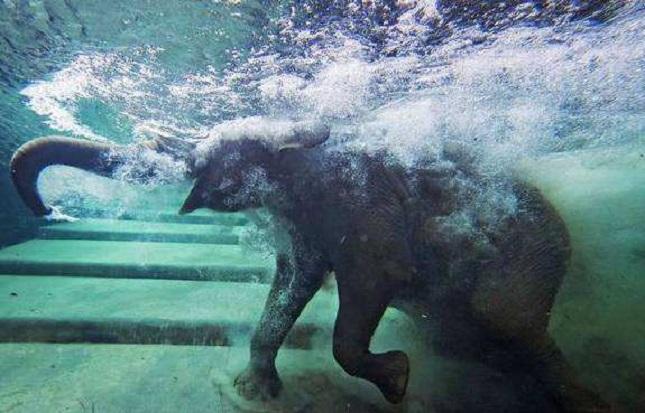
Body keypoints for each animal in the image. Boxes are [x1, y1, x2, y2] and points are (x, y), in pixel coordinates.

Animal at [11, 118, 608, 408]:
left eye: (210, 155)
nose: (52, 212)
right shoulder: (305, 224)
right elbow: (294, 280)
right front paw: (254, 393)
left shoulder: (364, 203)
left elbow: (374, 281)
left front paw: (397, 382)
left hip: (526, 264)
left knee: (511, 325)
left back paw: (586, 402)